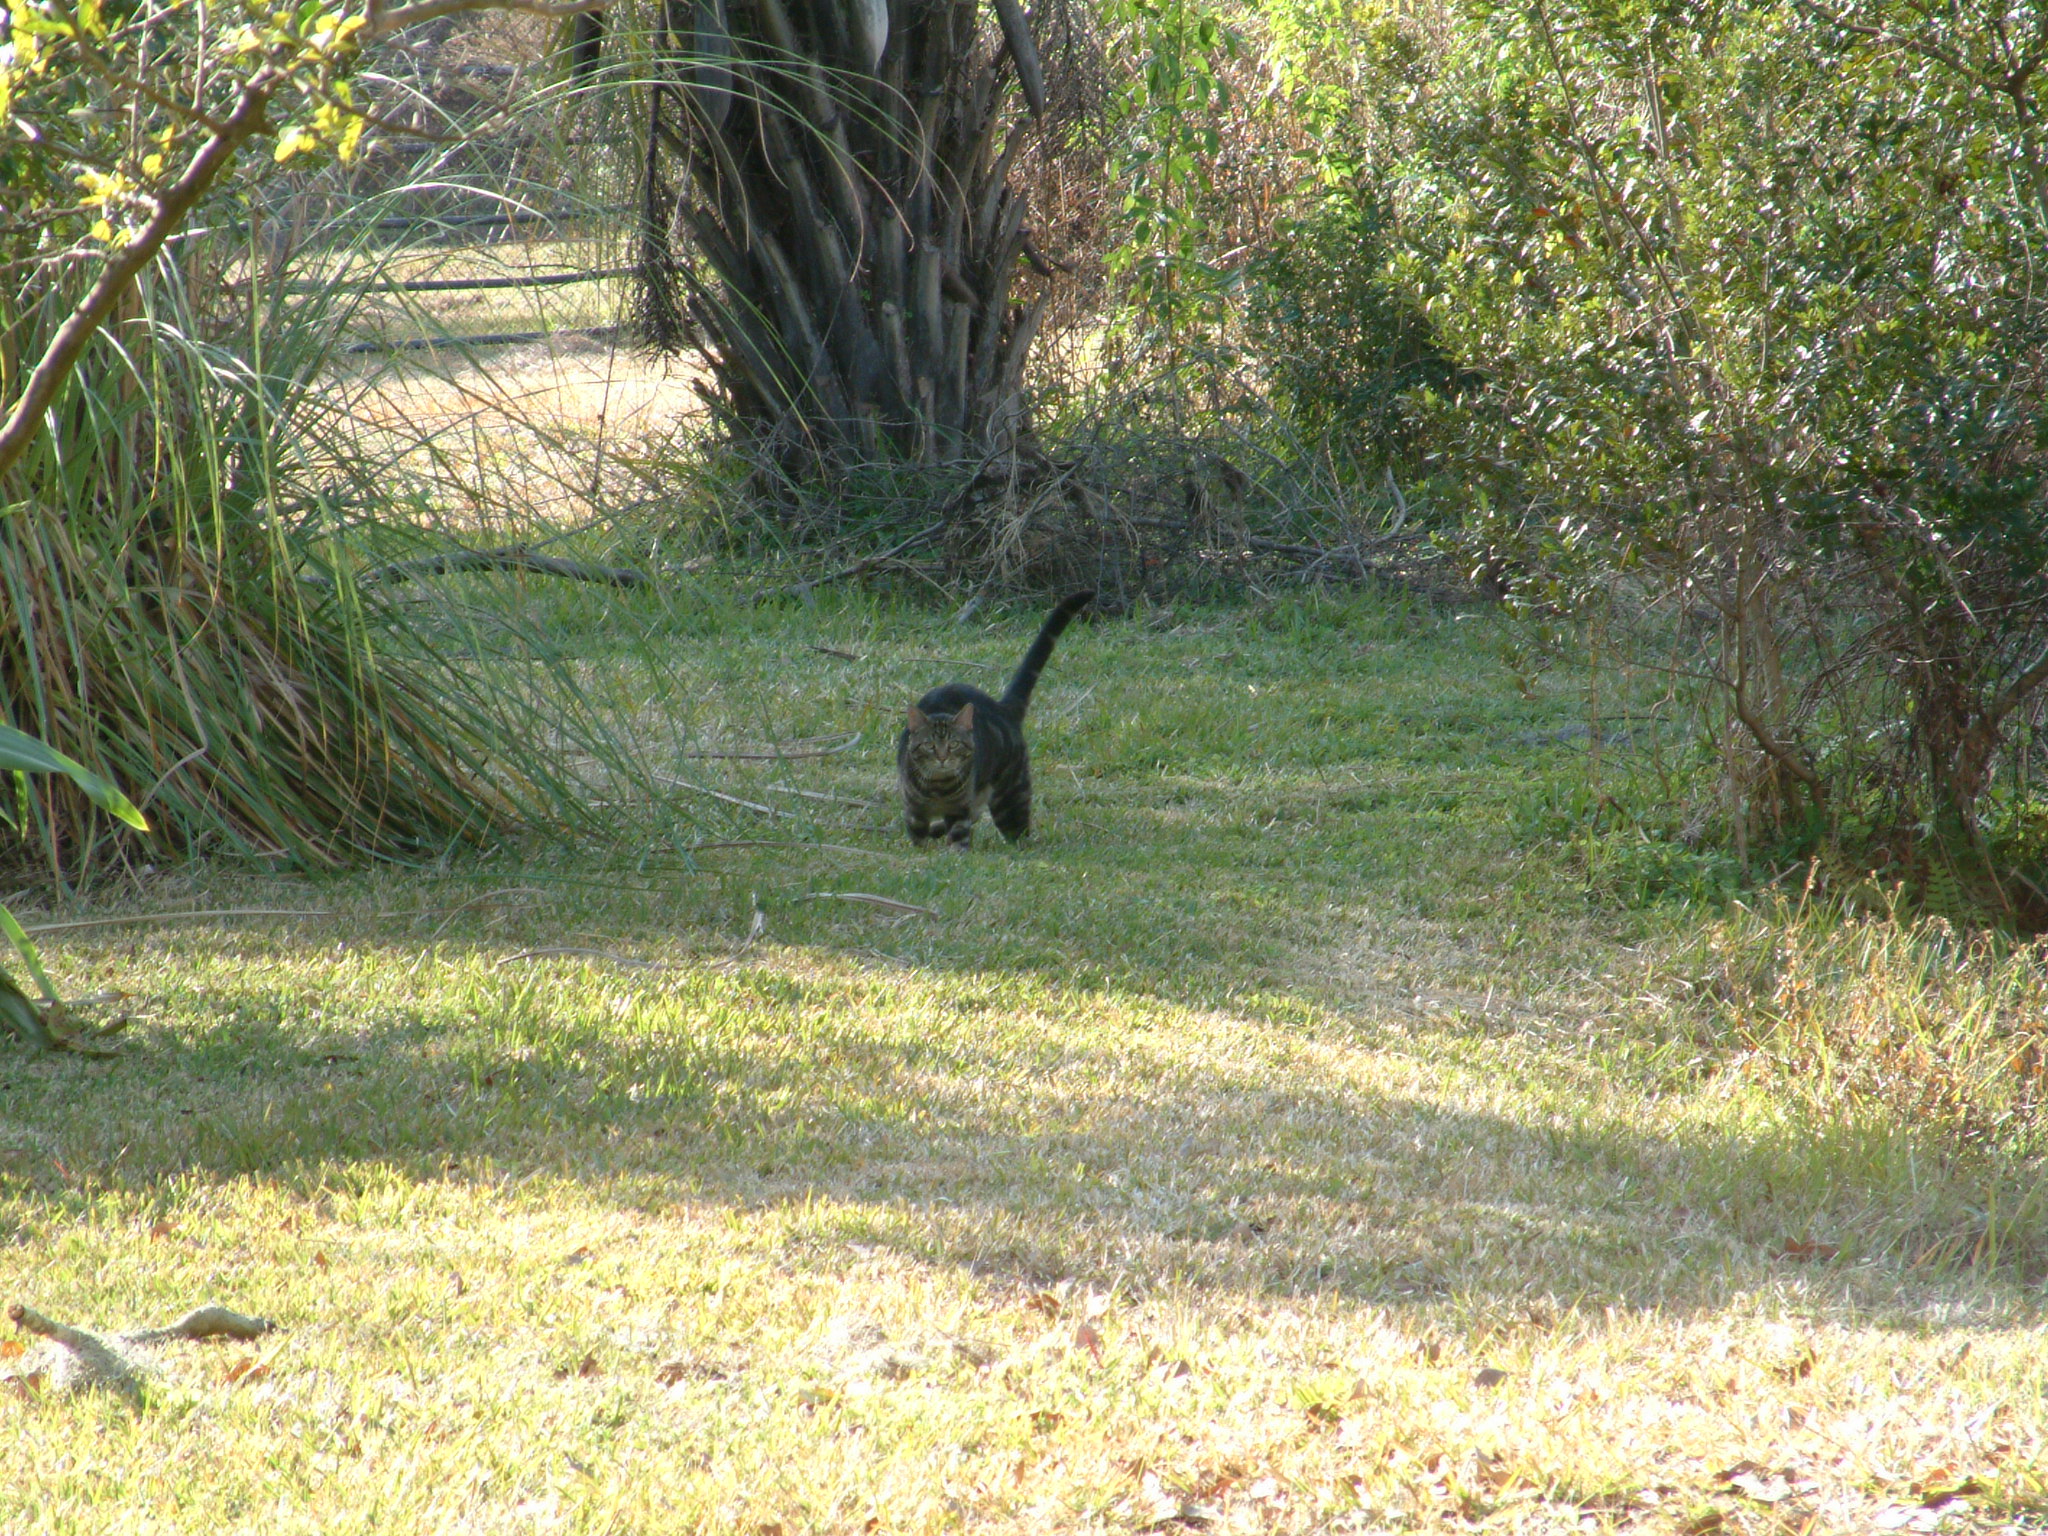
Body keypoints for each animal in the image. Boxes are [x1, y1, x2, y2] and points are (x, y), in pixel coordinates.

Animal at [898, 590, 1094, 848]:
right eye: (929, 745)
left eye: (954, 744)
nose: (942, 758)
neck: (937, 788)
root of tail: (1002, 708)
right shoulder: (914, 810)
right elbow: (917, 836)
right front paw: (923, 850)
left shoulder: (959, 809)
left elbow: (959, 836)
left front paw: (956, 852)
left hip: (1010, 798)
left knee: (1017, 832)